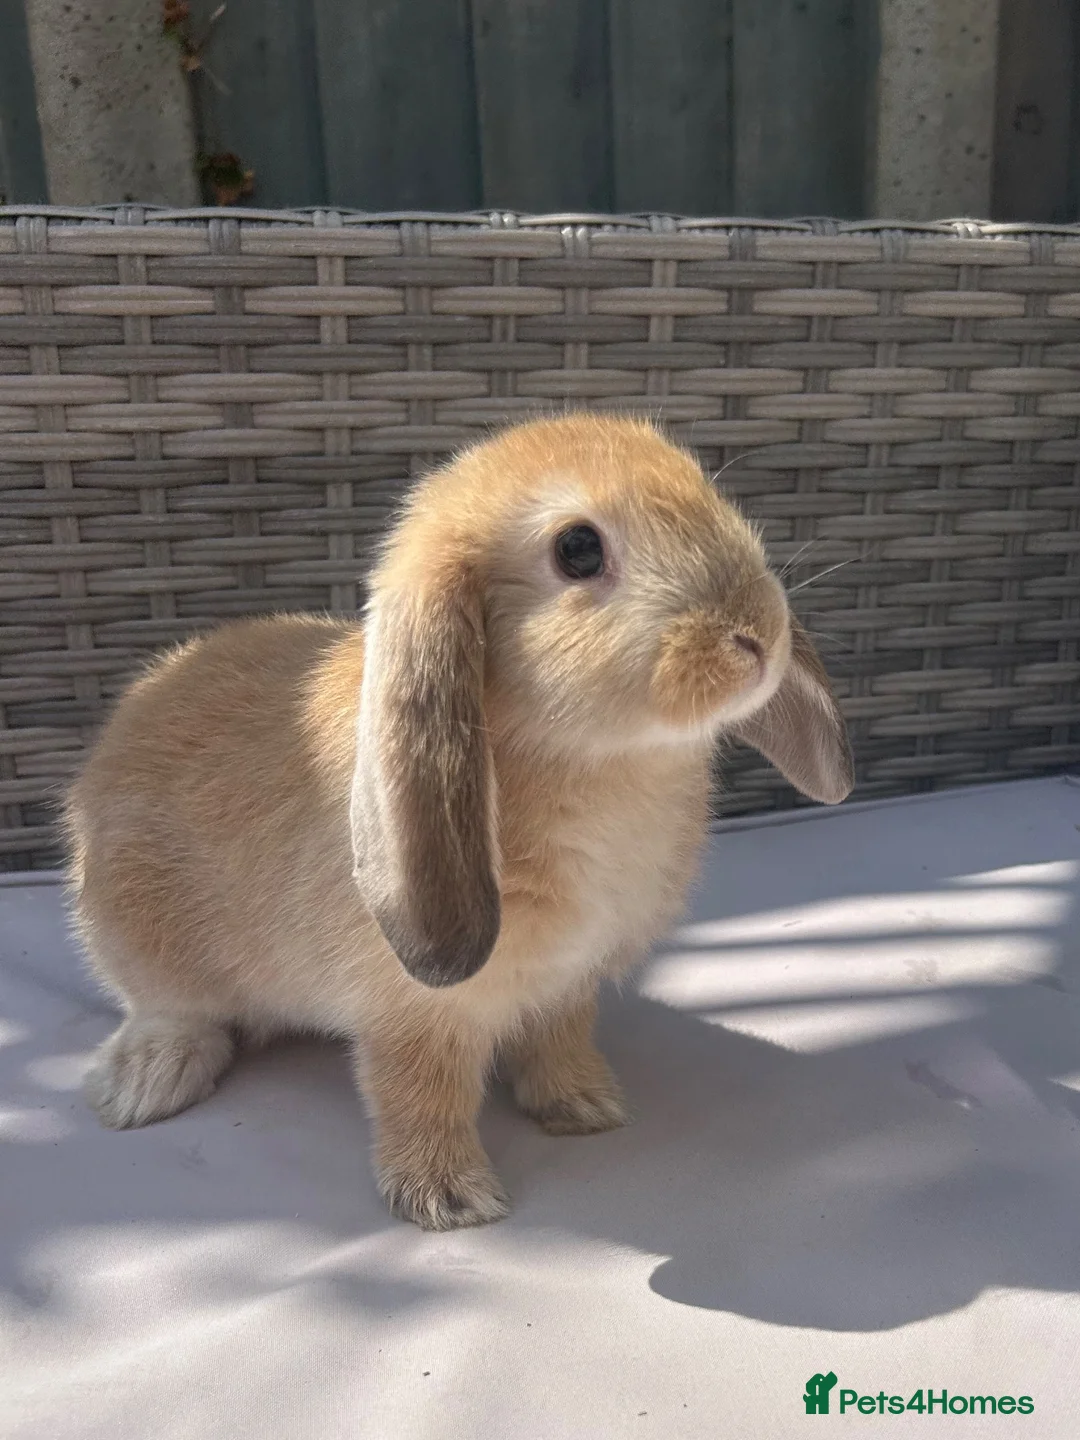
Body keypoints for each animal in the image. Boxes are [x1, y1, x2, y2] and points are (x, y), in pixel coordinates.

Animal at [63, 412, 853, 1231]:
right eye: (578, 549)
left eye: (706, 489)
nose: (756, 633)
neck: (602, 769)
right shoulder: (410, 1015)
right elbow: (420, 1093)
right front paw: (448, 1198)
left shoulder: (567, 985)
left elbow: (558, 1040)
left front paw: (585, 1107)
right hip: (137, 942)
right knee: (171, 1011)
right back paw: (144, 1084)